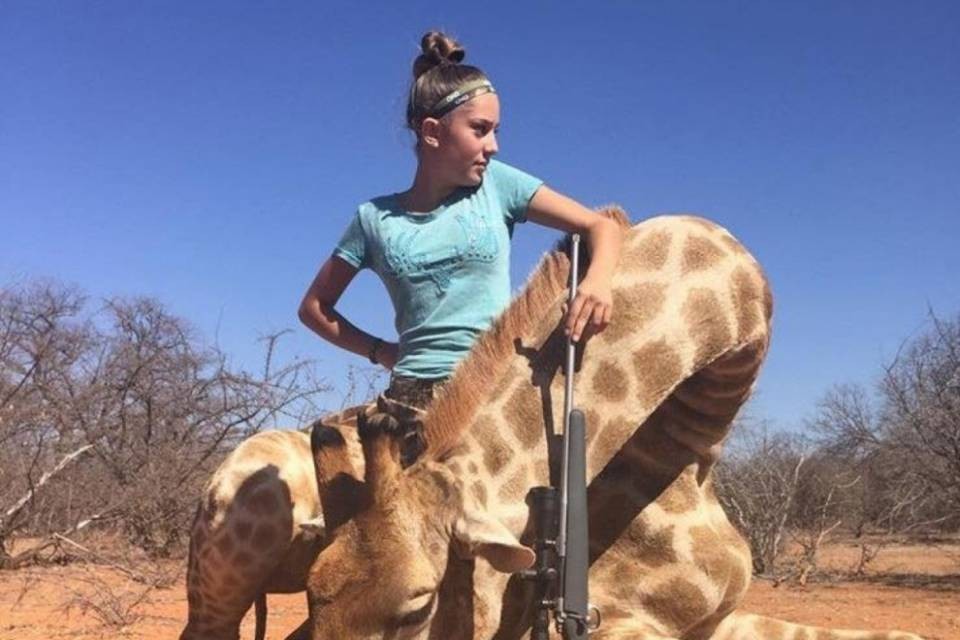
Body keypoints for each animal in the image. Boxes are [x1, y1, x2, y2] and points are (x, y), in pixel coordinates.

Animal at [303, 210, 924, 640]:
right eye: (311, 592)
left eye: (419, 606)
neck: (692, 457)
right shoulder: (626, 616)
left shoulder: (718, 617)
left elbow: (901, 633)